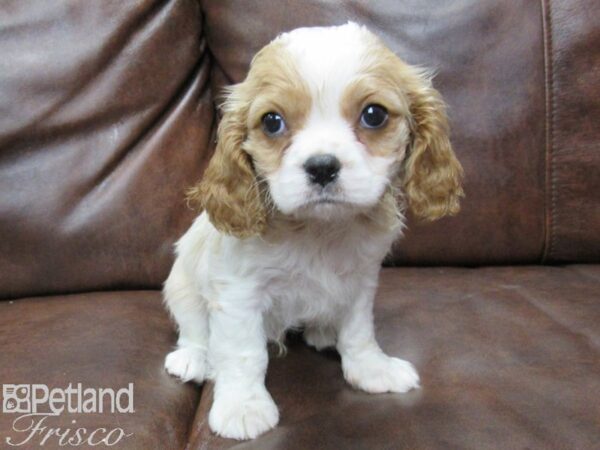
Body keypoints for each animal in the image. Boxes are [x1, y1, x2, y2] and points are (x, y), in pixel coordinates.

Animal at [164, 22, 464, 440]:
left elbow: (359, 331)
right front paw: (243, 406)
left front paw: (371, 369)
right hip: (180, 284)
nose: (322, 166)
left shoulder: (360, 281)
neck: (317, 230)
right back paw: (193, 358)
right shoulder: (238, 293)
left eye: (374, 115)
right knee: (193, 327)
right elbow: (243, 352)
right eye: (272, 122)